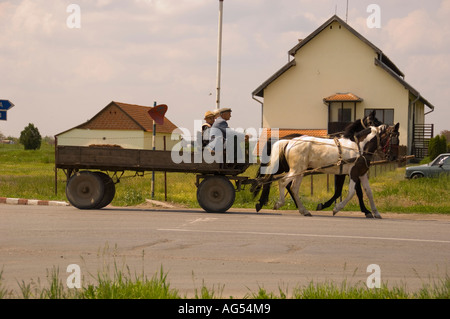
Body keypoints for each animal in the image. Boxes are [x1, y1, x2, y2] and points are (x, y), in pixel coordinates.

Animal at [262, 124, 400, 219]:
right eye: (393, 139)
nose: (394, 157)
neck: (359, 148)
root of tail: (290, 141)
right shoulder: (353, 173)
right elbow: (351, 193)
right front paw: (336, 208)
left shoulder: (362, 174)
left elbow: (369, 192)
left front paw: (375, 212)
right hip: (296, 169)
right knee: (283, 182)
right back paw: (279, 203)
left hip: (300, 171)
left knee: (294, 188)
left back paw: (304, 210)